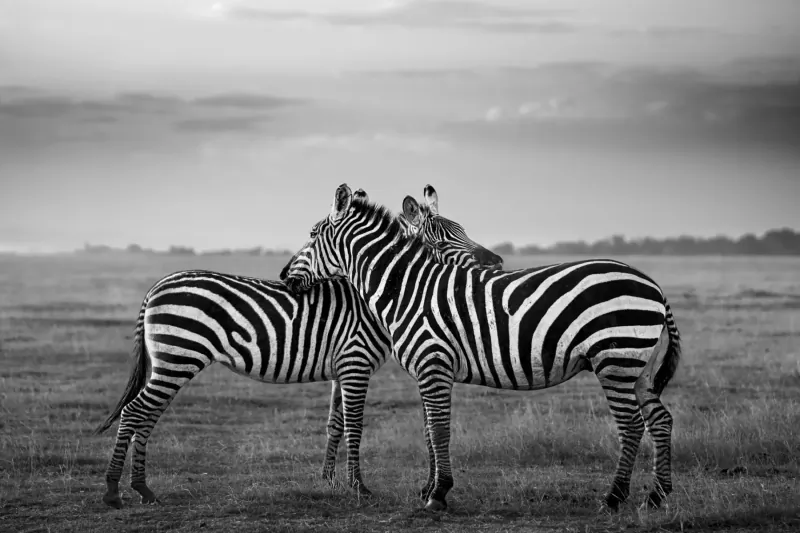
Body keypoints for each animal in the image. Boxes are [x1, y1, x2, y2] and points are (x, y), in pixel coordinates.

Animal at [93, 187, 501, 509]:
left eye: (463, 230)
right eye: (442, 239)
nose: (497, 263)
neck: (376, 297)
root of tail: (156, 285)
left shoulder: (342, 367)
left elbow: (335, 423)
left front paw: (329, 480)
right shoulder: (355, 362)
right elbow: (355, 424)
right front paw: (359, 487)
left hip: (170, 361)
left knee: (145, 415)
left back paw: (142, 489)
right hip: (178, 357)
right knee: (135, 412)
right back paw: (114, 491)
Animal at [281, 183, 682, 513]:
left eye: (311, 234)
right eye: (443, 239)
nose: (284, 276)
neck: (409, 289)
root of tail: (653, 284)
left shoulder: (433, 363)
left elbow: (439, 429)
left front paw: (438, 494)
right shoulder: (429, 369)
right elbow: (429, 430)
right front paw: (429, 488)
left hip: (615, 358)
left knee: (631, 424)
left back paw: (614, 498)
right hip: (638, 366)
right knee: (660, 420)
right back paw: (655, 496)